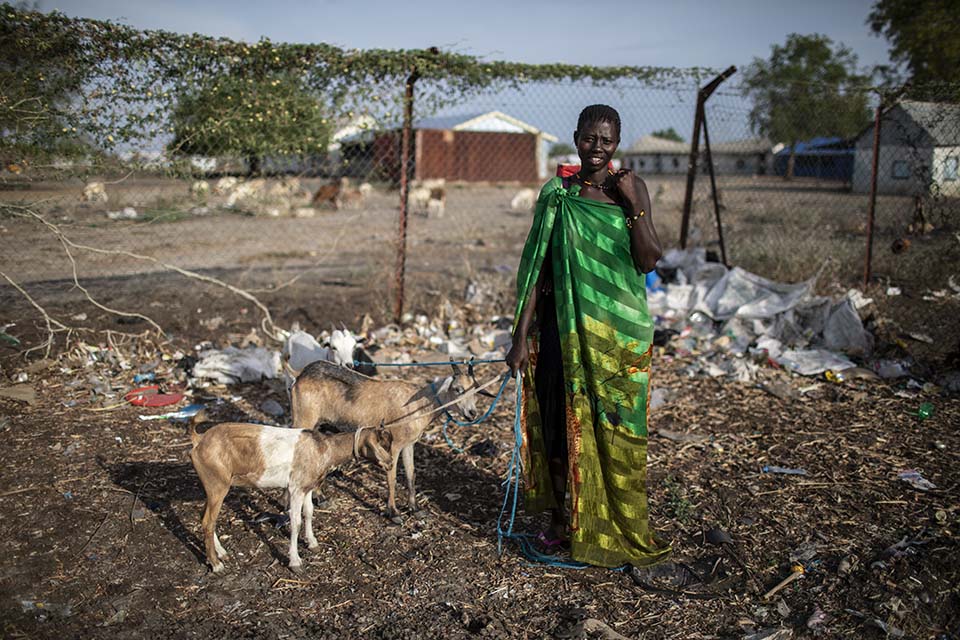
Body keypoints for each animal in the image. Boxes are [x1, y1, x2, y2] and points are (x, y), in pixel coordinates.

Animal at [189, 418, 392, 572]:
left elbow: (309, 512)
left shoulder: (307, 487)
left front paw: (312, 543)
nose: (390, 463)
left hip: (213, 487)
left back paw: (221, 553)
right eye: (382, 444)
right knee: (208, 522)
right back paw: (216, 565)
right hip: (217, 485)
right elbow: (296, 522)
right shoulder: (295, 488)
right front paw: (295, 561)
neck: (323, 449)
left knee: (203, 516)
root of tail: (199, 440)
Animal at [288, 362, 488, 516]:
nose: (472, 413)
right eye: (457, 389)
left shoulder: (409, 444)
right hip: (303, 418)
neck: (420, 404)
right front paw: (393, 512)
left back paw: (320, 497)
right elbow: (392, 477)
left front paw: (414, 508)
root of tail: (299, 376)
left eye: (475, 391)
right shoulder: (394, 445)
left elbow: (411, 474)